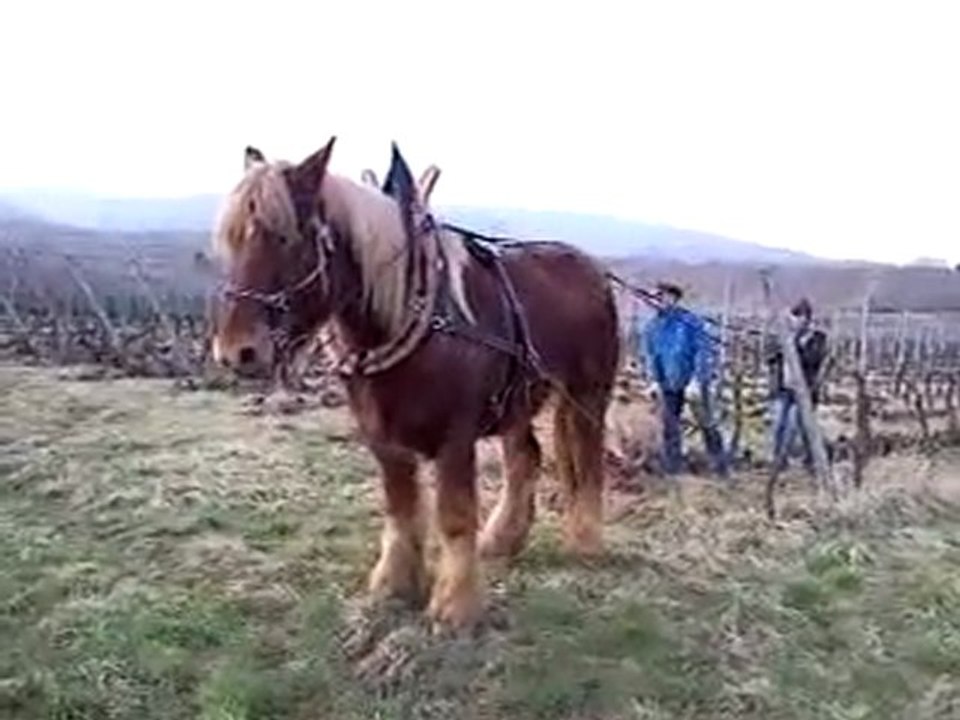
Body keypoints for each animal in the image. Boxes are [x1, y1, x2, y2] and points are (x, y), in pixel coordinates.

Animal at [210, 138, 620, 627]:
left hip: (587, 393)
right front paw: (394, 585)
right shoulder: (382, 438)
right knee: (526, 457)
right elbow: (401, 509)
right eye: (233, 239)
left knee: (587, 458)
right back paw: (503, 538)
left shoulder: (456, 437)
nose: (236, 351)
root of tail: (590, 267)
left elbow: (455, 515)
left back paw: (586, 539)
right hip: (517, 400)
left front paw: (455, 605)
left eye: (285, 237)